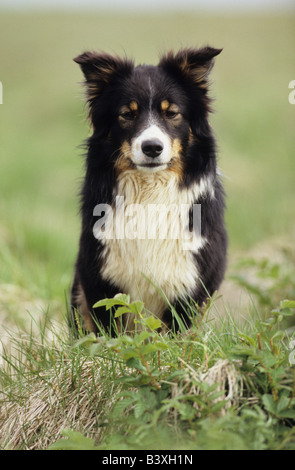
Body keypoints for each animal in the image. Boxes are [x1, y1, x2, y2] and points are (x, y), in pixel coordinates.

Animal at [70, 47, 228, 334]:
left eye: (172, 113)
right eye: (127, 114)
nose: (152, 147)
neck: (150, 192)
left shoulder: (191, 284)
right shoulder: (99, 278)